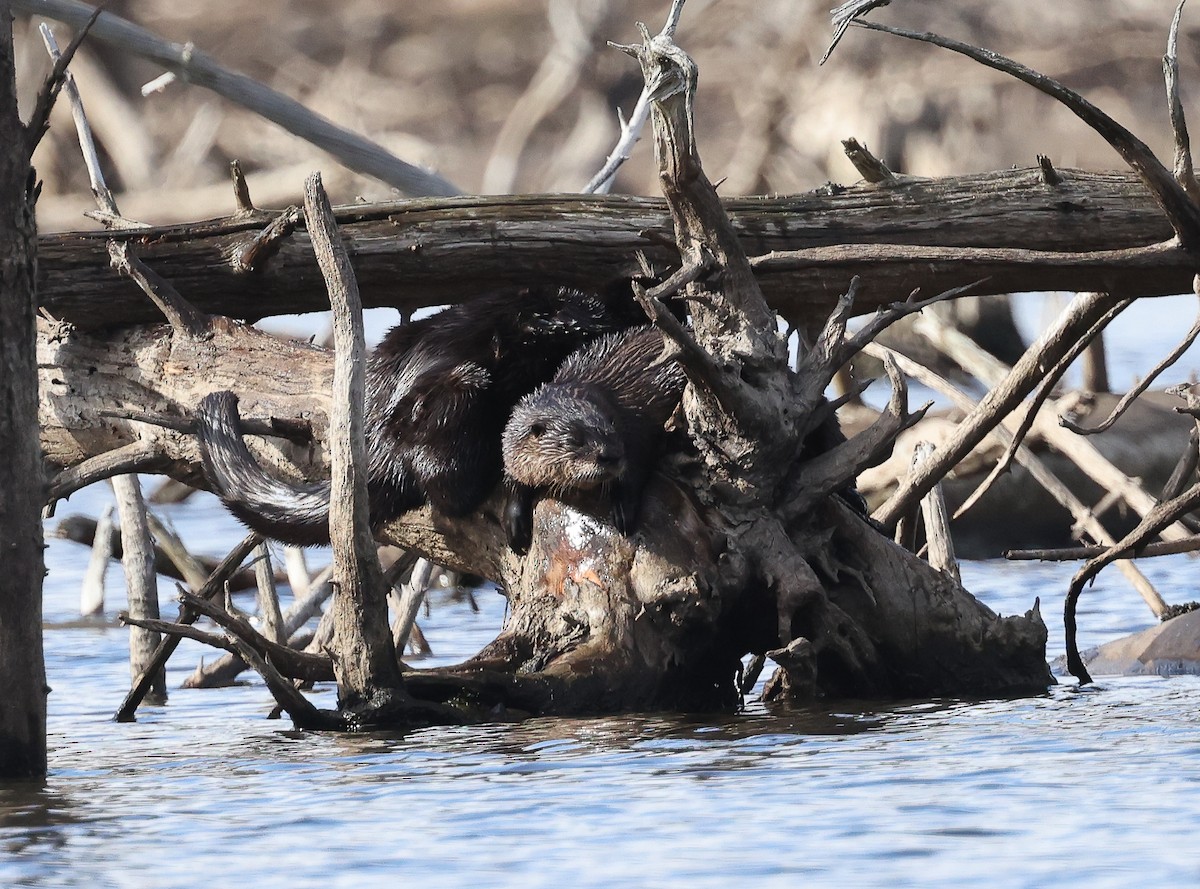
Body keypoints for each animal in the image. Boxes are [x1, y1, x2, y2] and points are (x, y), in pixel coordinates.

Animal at [501, 324, 687, 553]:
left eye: (611, 425)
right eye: (575, 439)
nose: (612, 455)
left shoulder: (635, 430)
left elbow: (637, 465)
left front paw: (623, 511)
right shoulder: (513, 449)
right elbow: (513, 480)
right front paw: (515, 527)